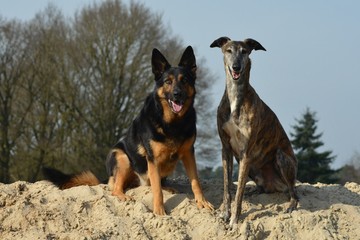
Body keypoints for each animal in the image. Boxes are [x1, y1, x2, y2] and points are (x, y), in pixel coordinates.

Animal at [45, 46, 214, 215]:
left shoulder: (188, 154)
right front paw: (159, 211)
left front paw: (202, 202)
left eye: (184, 80)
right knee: (116, 188)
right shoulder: (153, 160)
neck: (173, 123)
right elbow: (157, 190)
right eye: (168, 82)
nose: (177, 94)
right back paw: (124, 196)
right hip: (122, 158)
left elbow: (195, 182)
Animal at [211, 36, 298, 226]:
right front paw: (225, 215)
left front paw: (234, 221)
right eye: (229, 50)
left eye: (244, 51)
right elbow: (228, 188)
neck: (235, 98)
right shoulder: (226, 149)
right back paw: (256, 191)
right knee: (262, 188)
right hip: (252, 167)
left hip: (280, 158)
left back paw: (291, 205)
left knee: (294, 192)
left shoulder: (246, 153)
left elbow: (238, 193)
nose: (236, 67)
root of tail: (275, 184)